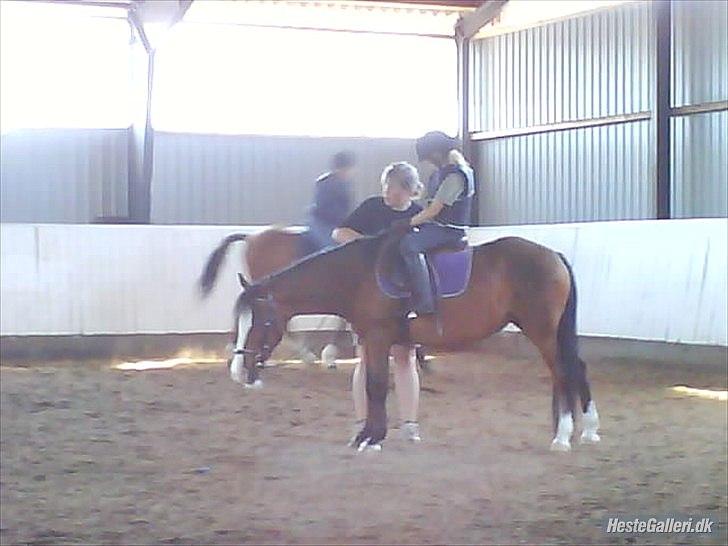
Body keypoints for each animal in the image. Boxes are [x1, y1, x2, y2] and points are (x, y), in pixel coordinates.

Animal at [222, 231, 601, 452]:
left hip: (542, 330)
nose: (239, 370)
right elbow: (372, 384)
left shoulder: (378, 337)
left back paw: (563, 436)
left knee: (563, 372)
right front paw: (367, 435)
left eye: (263, 321)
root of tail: (553, 255)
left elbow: (375, 386)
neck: (357, 276)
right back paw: (588, 430)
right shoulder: (372, 340)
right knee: (575, 368)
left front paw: (371, 438)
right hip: (552, 331)